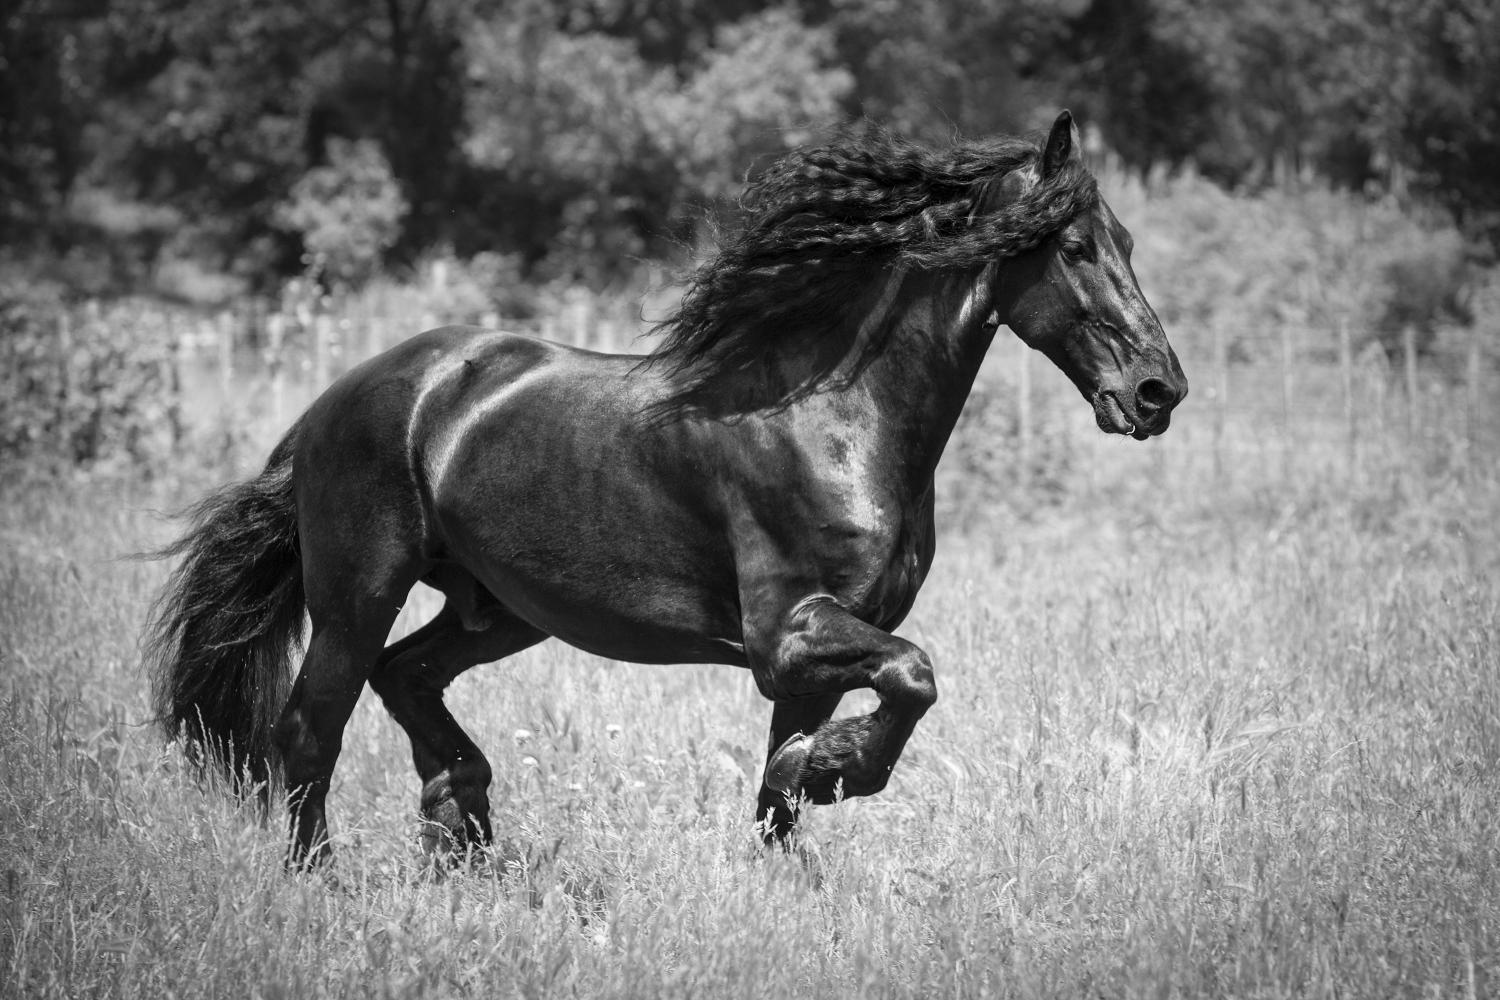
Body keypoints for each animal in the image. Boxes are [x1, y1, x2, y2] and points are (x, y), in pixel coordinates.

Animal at [146, 111, 1188, 869]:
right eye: (1074, 246)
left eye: (1128, 240)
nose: (1157, 391)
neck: (837, 417)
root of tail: (337, 404)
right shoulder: (788, 637)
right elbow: (913, 675)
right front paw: (839, 770)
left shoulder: (811, 662)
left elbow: (778, 796)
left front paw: (802, 831)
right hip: (358, 594)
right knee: (307, 732)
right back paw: (325, 876)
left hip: (502, 608)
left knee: (408, 678)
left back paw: (462, 822)